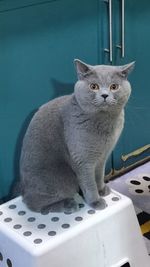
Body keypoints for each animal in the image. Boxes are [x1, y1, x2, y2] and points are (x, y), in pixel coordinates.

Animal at [19, 60, 135, 214]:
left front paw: (101, 189)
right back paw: (68, 204)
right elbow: (89, 183)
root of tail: (23, 189)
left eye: (114, 87)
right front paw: (95, 201)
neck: (104, 123)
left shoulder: (102, 157)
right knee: (34, 204)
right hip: (62, 181)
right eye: (94, 86)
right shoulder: (83, 159)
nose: (104, 95)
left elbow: (99, 175)